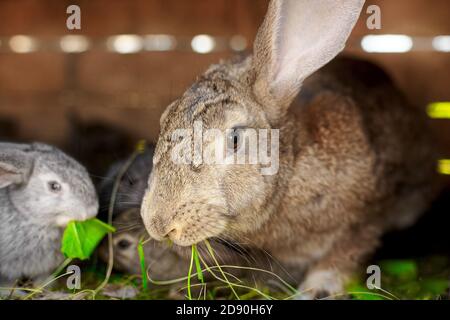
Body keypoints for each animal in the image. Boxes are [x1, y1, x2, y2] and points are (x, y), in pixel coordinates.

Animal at [141, 0, 440, 300]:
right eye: (164, 119)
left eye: (235, 138)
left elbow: (346, 251)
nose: (158, 224)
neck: (292, 171)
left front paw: (317, 289)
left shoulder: (368, 216)